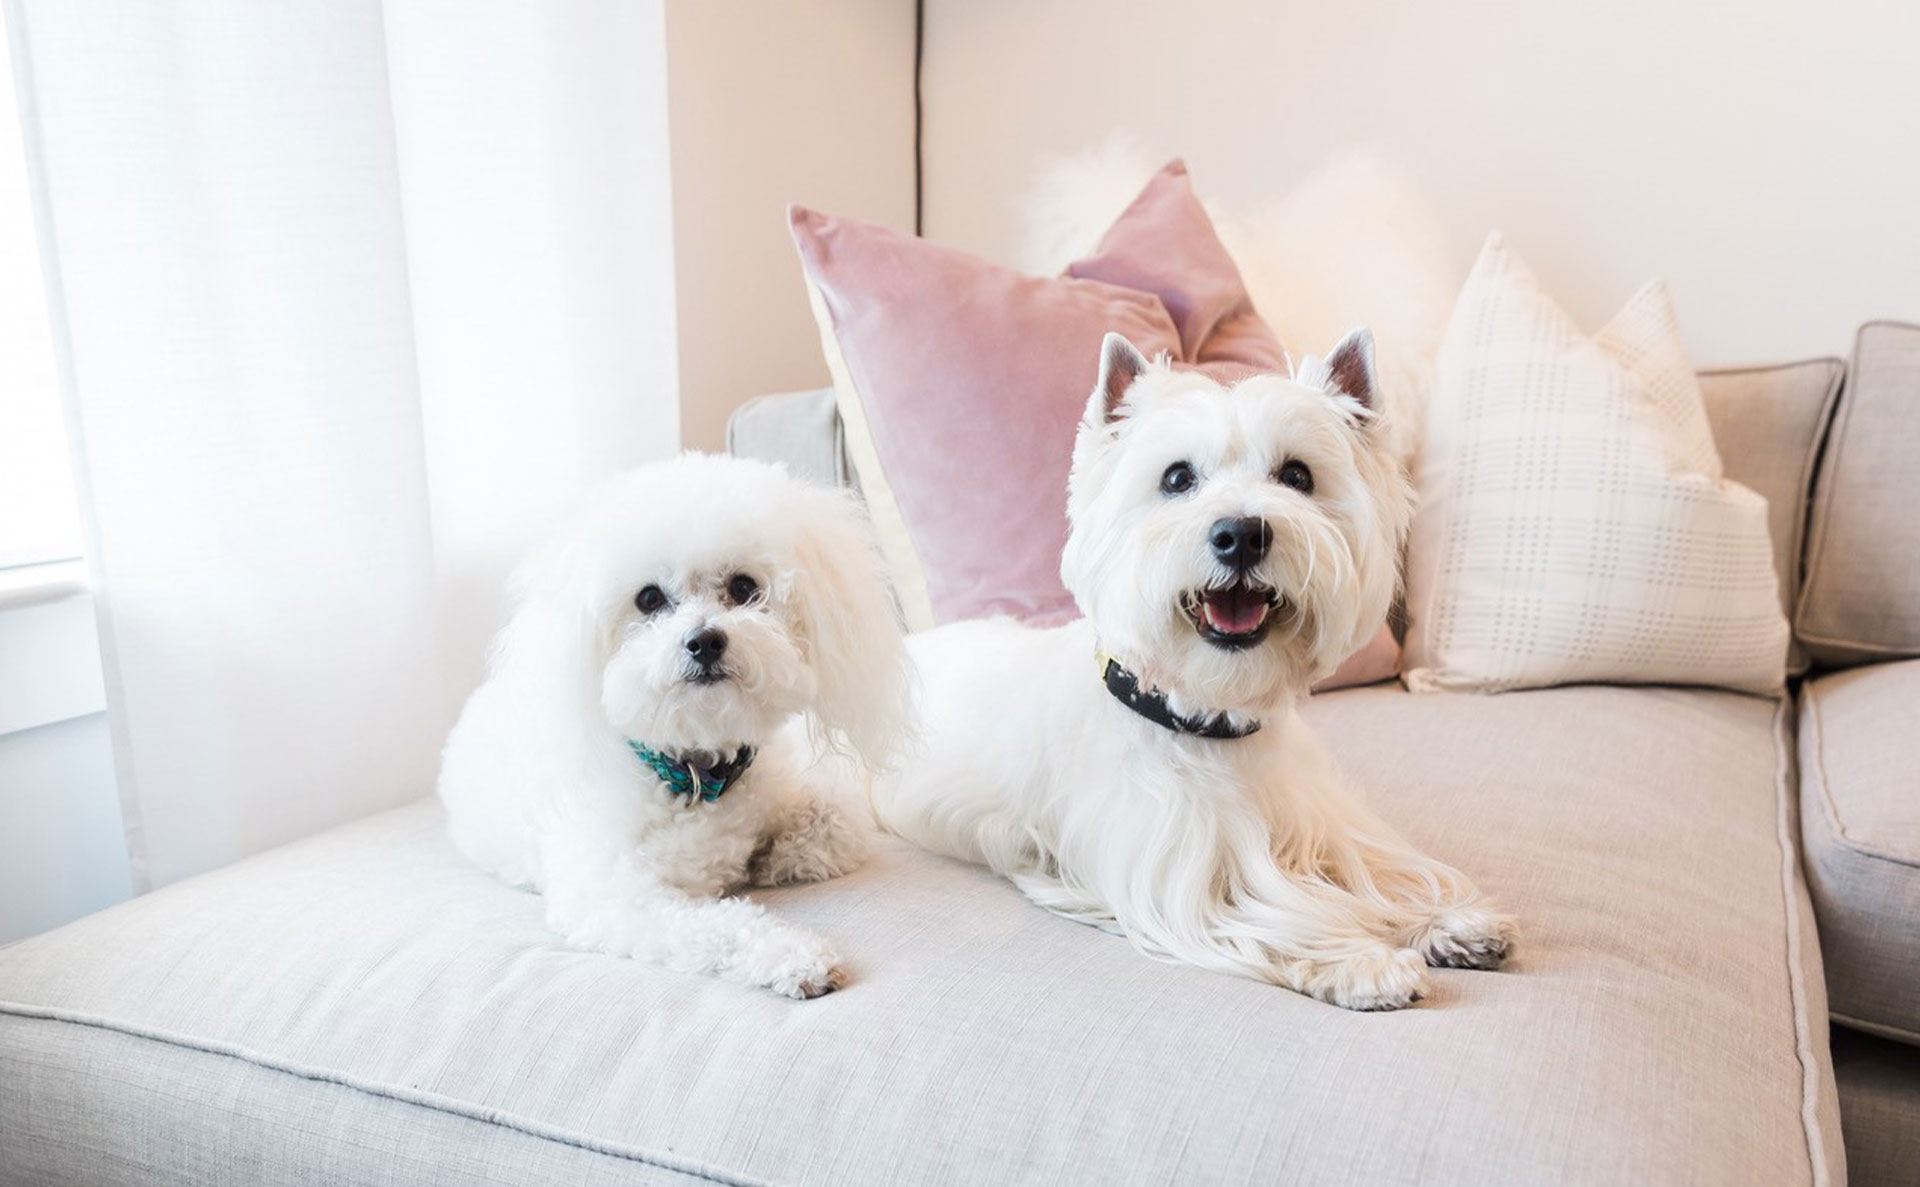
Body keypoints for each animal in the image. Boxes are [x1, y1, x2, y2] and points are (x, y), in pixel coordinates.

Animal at [439, 453, 910, 998]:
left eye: (743, 587)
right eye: (648, 599)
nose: (704, 641)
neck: (694, 771)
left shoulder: (793, 789)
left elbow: (839, 822)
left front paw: (777, 858)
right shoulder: (615, 894)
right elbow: (717, 925)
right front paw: (795, 956)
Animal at [871, 332, 1512, 1006]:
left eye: (1298, 475)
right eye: (1177, 477)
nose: (1242, 534)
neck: (1204, 712)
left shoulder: (1318, 821)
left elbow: (1375, 872)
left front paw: (1450, 922)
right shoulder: (1173, 876)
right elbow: (1277, 916)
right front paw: (1363, 962)